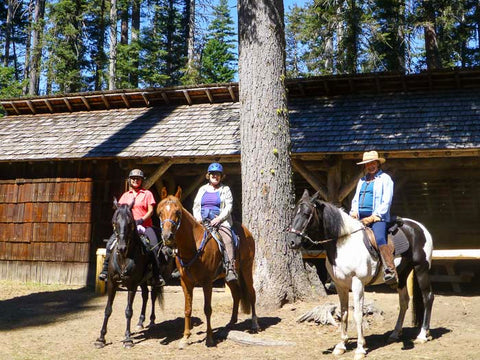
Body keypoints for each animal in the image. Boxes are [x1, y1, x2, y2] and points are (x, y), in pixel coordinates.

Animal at [94, 200, 165, 348]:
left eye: (130, 222)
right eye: (114, 222)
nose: (121, 247)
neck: (124, 258)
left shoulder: (132, 285)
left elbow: (128, 311)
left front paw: (127, 338)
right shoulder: (112, 283)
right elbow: (108, 309)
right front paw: (101, 338)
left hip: (152, 280)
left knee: (153, 296)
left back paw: (152, 321)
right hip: (142, 282)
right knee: (145, 296)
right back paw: (140, 322)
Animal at [157, 187, 258, 348]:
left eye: (178, 212)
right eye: (160, 212)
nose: (167, 236)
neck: (193, 246)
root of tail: (247, 231)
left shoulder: (207, 282)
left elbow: (207, 309)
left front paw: (209, 339)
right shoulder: (185, 282)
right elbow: (187, 309)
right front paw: (185, 338)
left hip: (247, 269)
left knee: (251, 293)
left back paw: (255, 325)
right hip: (229, 277)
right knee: (236, 294)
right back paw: (231, 322)